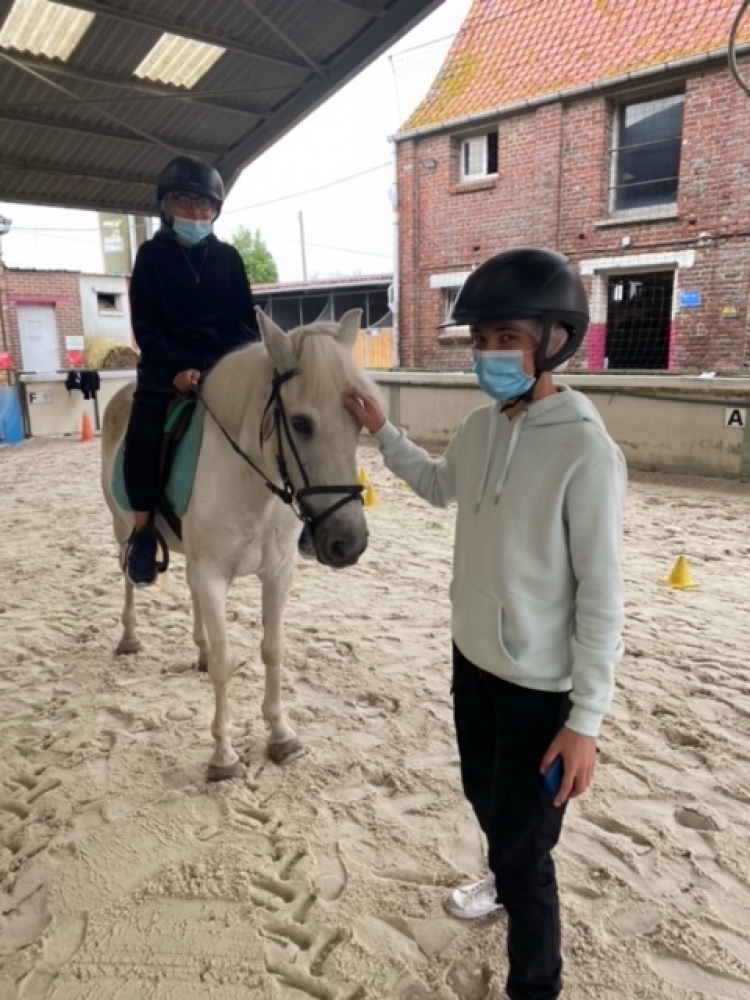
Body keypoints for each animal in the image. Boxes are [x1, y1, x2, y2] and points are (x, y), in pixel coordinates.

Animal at [100, 309, 373, 780]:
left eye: (358, 420)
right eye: (300, 424)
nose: (349, 542)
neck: (251, 485)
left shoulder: (277, 572)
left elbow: (273, 649)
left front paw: (281, 736)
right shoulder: (213, 576)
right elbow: (226, 662)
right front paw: (223, 756)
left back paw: (199, 649)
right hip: (123, 529)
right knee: (129, 581)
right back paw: (130, 637)